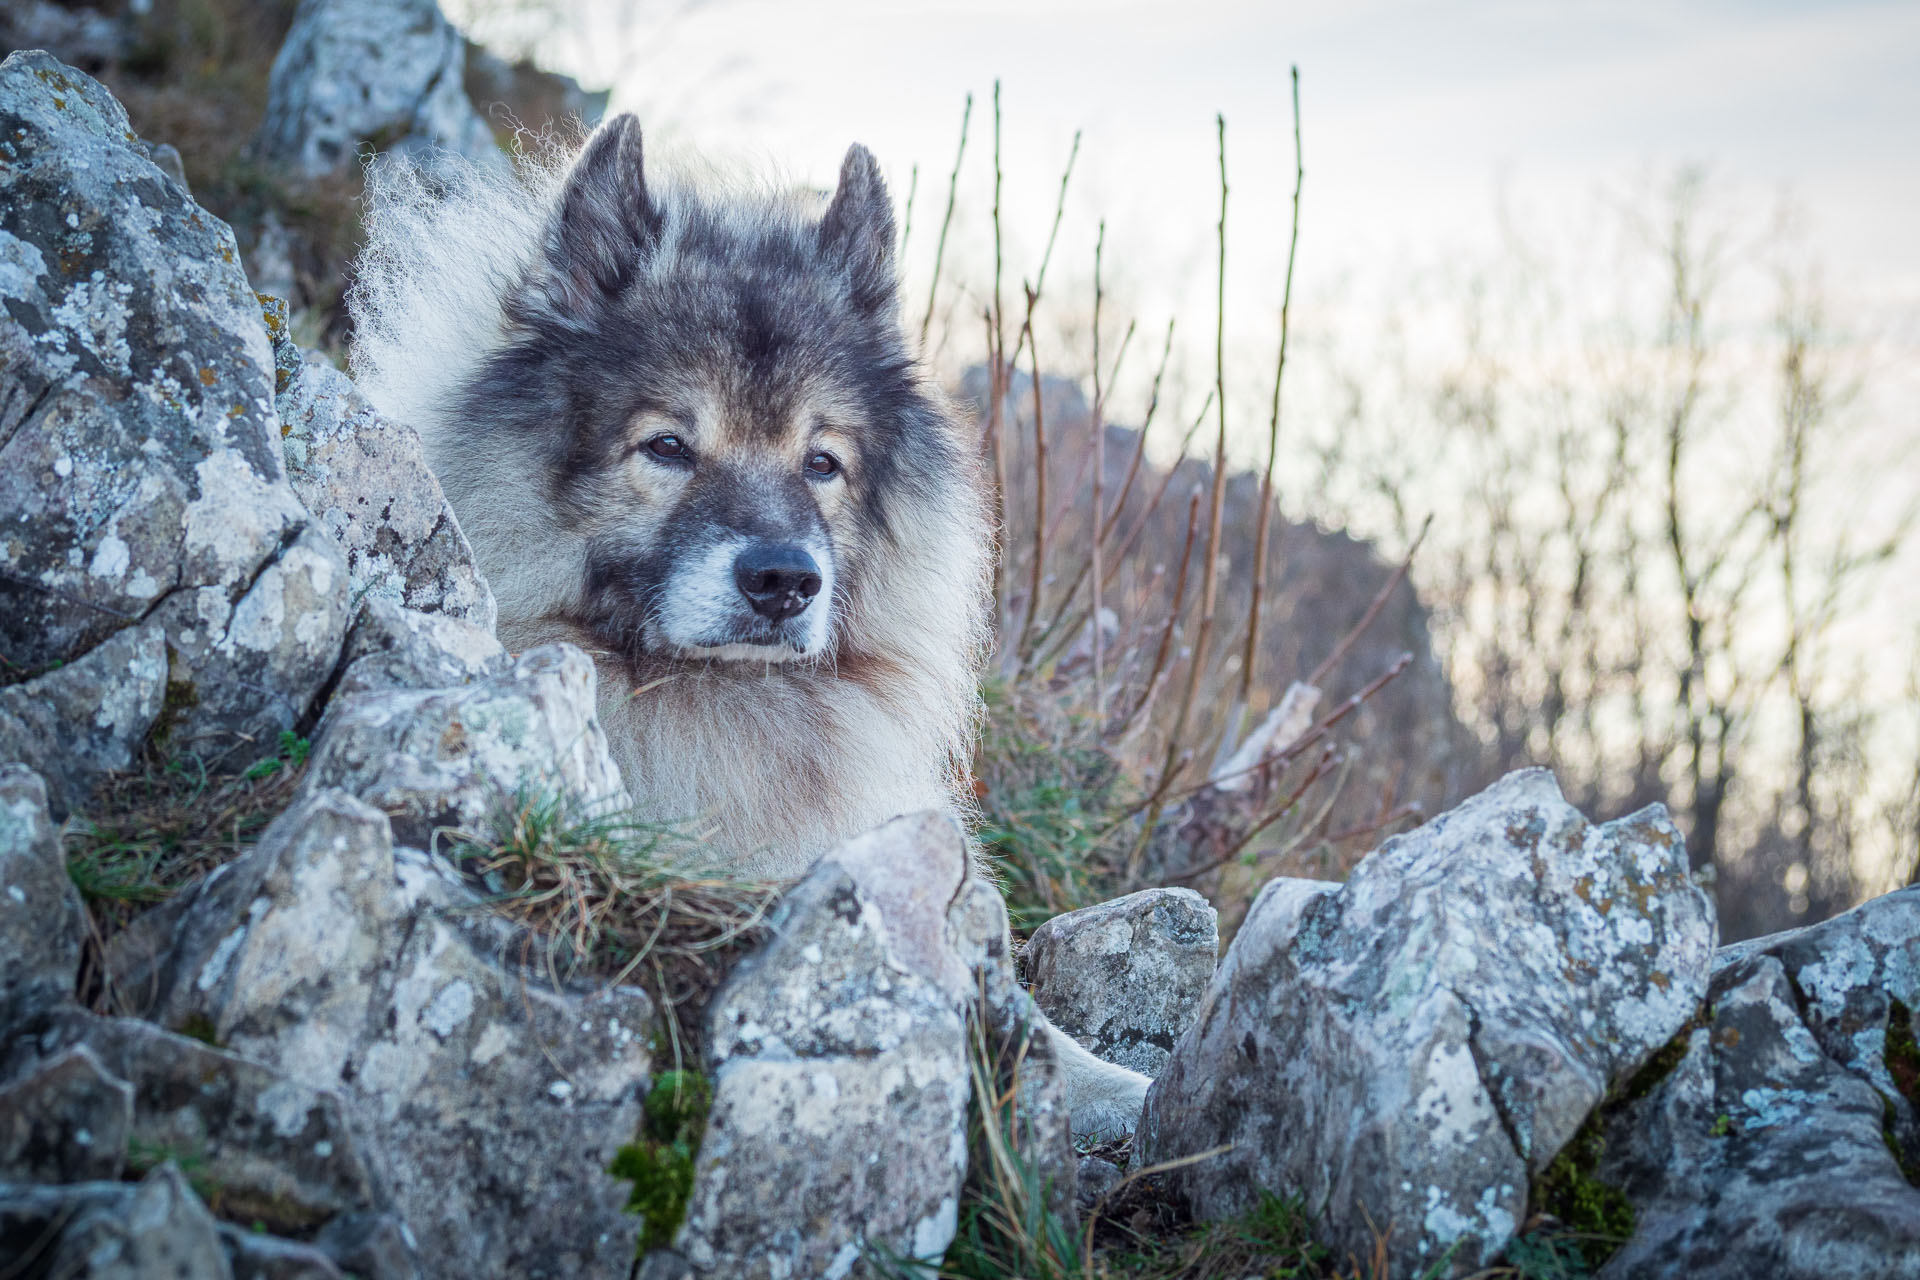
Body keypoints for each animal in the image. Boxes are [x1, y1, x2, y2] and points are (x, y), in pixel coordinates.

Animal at [353, 117, 1144, 1143]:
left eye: (822, 463)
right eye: (668, 446)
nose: (783, 582)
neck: (714, 705)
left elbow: (1042, 1035)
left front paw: (1122, 1089)